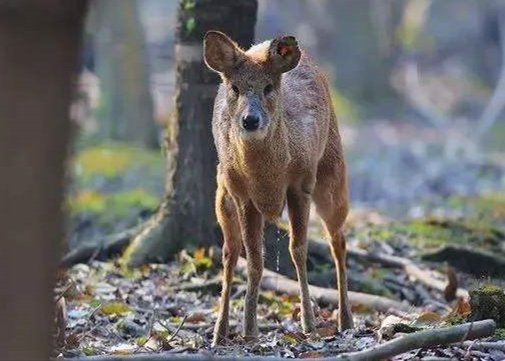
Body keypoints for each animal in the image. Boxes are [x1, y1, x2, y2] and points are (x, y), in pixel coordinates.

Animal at [203, 30, 352, 344]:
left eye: (269, 87)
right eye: (235, 87)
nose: (250, 120)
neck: (268, 177)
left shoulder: (301, 184)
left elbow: (298, 250)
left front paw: (309, 324)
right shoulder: (243, 196)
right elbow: (255, 260)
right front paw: (249, 330)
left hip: (332, 172)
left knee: (339, 240)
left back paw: (346, 320)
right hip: (222, 194)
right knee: (229, 252)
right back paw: (219, 332)